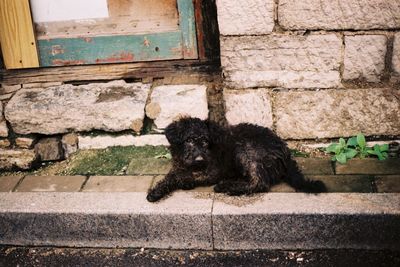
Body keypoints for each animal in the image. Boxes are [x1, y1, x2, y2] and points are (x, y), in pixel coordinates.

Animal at [145, 118, 326, 203]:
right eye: (188, 140)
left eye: (205, 141)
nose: (199, 159)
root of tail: (285, 150)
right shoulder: (179, 166)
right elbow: (171, 176)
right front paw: (157, 190)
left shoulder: (212, 171)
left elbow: (182, 176)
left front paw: (183, 182)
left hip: (245, 151)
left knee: (259, 183)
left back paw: (228, 186)